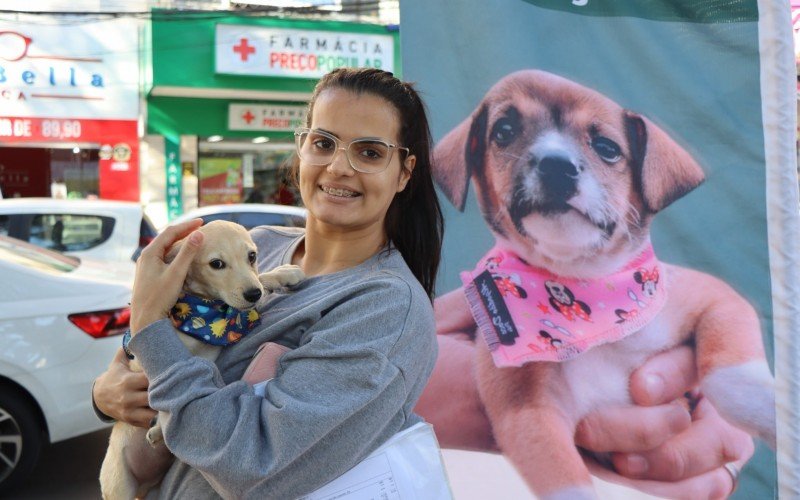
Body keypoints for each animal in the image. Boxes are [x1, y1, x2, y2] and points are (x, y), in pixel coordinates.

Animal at [97, 222, 304, 500]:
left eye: (252, 256)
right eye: (216, 264)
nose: (253, 294)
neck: (203, 310)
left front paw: (283, 274)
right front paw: (159, 426)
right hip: (120, 486)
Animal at [432, 70, 776, 500]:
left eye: (607, 148)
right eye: (504, 131)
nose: (556, 165)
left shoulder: (714, 299)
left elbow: (731, 377)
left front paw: (776, 412)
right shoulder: (529, 414)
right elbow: (567, 483)